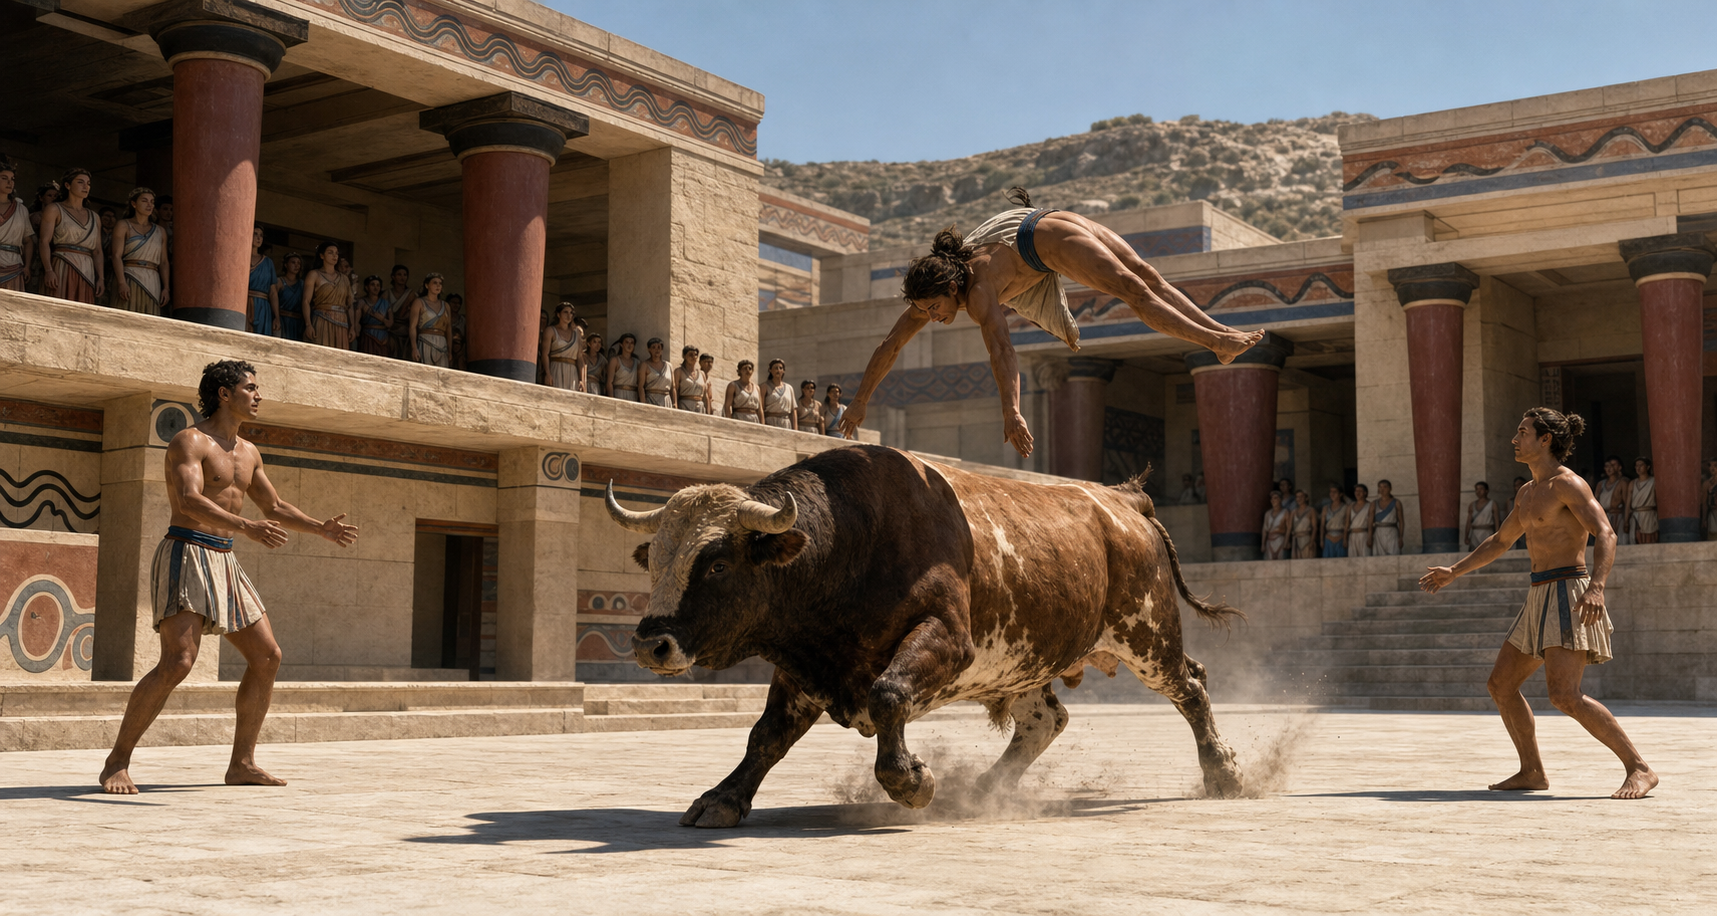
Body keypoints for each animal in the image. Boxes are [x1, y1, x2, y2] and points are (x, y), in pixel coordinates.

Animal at [604, 444, 1246, 827]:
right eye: (655, 561)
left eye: (715, 564)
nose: (650, 644)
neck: (850, 539)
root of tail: (1121, 499)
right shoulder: (804, 667)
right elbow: (765, 737)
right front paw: (722, 799)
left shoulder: (946, 641)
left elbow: (890, 697)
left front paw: (912, 781)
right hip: (1027, 661)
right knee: (1046, 721)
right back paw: (983, 792)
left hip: (1147, 635)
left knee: (1191, 686)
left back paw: (1223, 773)